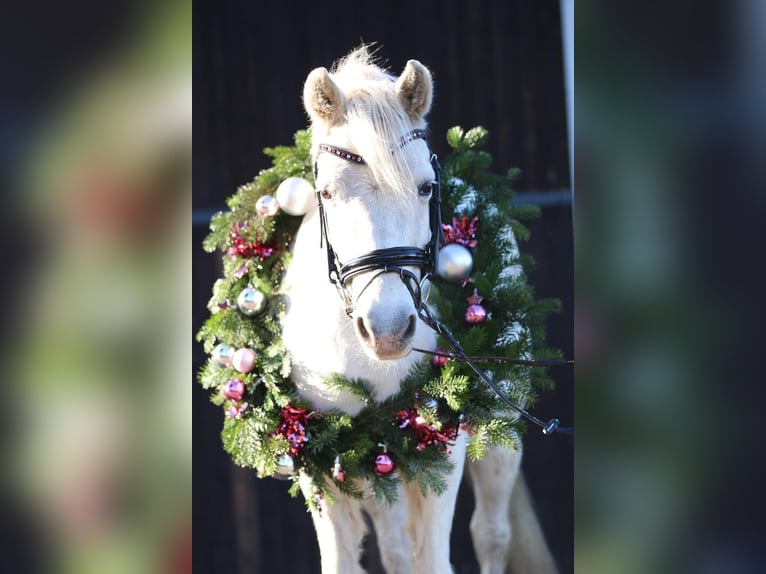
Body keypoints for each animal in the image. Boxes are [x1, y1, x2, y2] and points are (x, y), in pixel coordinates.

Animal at [282, 48, 560, 574]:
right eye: (326, 192)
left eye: (427, 187)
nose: (388, 330)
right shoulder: (315, 460)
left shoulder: (444, 449)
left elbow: (435, 559)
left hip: (499, 429)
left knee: (491, 533)